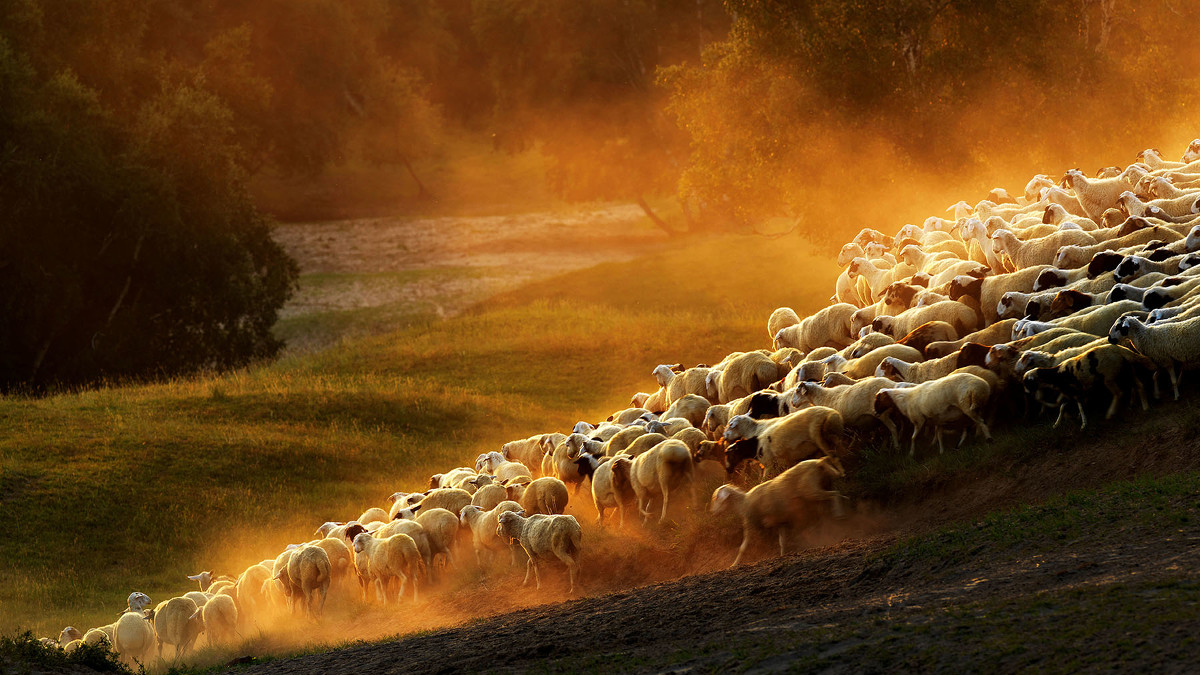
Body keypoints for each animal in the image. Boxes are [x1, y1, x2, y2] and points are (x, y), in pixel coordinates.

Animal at [705, 451, 849, 566]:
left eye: (716, 498)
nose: (712, 512)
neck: (743, 502)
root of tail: (818, 463)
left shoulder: (751, 524)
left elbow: (743, 547)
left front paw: (733, 564)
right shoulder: (781, 522)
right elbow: (782, 542)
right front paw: (782, 555)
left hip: (811, 490)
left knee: (834, 495)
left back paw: (839, 514)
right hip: (822, 487)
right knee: (832, 500)